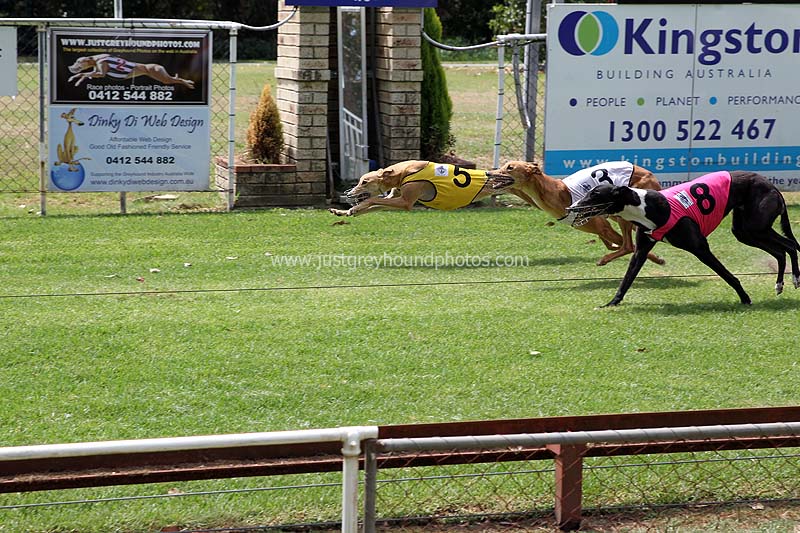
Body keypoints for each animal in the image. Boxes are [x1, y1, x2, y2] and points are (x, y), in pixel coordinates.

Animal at [67, 54, 195, 89]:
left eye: (78, 61)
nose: (70, 67)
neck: (96, 59)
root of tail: (158, 65)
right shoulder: (96, 72)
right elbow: (83, 74)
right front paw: (74, 79)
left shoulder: (101, 73)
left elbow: (83, 73)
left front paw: (76, 80)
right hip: (163, 77)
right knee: (177, 78)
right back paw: (190, 83)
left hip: (162, 77)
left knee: (178, 79)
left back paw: (189, 84)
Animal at [328, 160, 515, 216]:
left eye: (364, 182)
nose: (348, 193)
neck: (404, 171)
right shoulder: (396, 199)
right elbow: (375, 205)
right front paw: (344, 211)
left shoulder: (406, 202)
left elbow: (372, 199)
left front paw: (354, 208)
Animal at [485, 160, 665, 266]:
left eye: (510, 168)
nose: (488, 173)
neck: (555, 191)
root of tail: (651, 175)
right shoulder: (602, 226)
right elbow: (615, 244)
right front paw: (657, 258)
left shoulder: (603, 227)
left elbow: (627, 245)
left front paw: (656, 258)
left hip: (623, 213)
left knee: (627, 245)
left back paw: (604, 260)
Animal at [566, 170, 800, 306]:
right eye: (588, 192)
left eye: (595, 195)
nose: (571, 207)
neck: (644, 207)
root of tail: (770, 184)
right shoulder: (641, 250)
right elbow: (626, 280)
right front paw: (611, 303)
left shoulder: (700, 248)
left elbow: (728, 276)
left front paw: (745, 299)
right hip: (745, 232)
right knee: (781, 251)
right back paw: (780, 284)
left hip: (756, 226)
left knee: (790, 246)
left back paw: (795, 279)